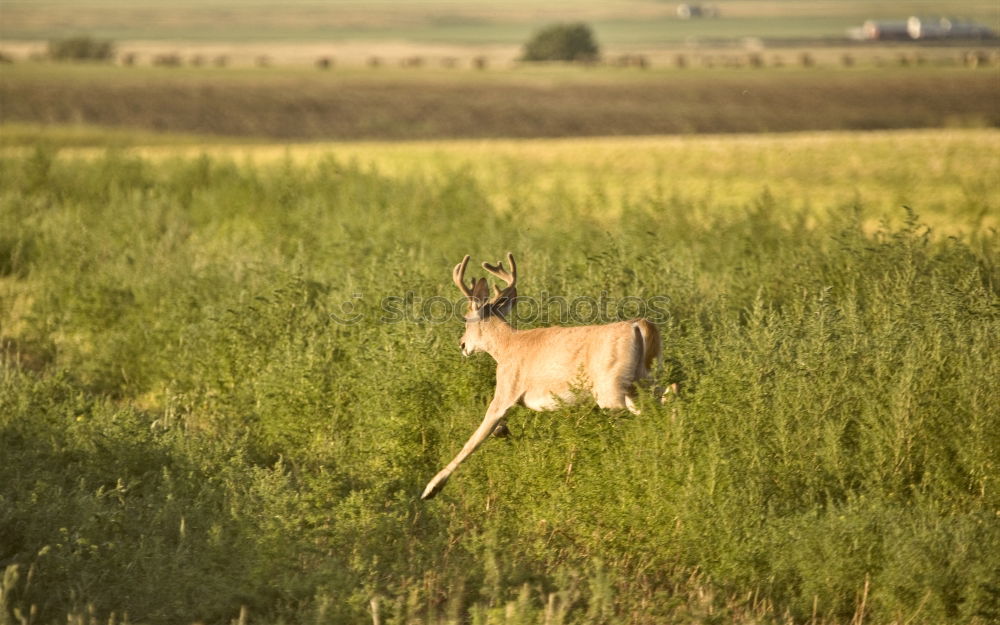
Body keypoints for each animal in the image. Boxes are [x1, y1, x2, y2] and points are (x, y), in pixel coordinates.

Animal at [422, 251, 664, 500]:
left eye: (465, 318)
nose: (462, 345)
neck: (506, 347)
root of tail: (639, 325)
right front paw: (503, 431)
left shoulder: (505, 390)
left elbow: (473, 440)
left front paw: (431, 487)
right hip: (644, 378)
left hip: (611, 388)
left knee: (643, 410)